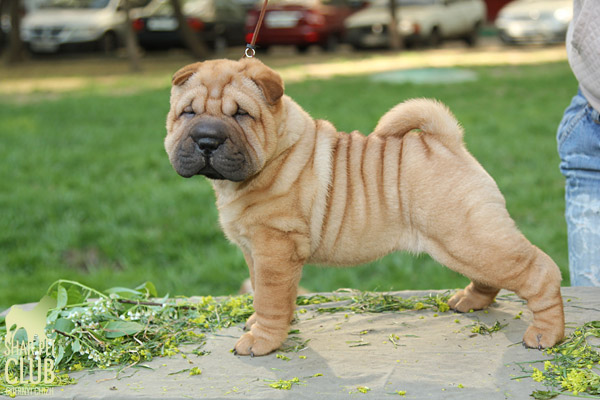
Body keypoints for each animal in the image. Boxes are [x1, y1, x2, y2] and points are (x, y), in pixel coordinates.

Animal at [164, 58, 564, 356]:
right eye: (188, 113)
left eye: (241, 115)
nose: (207, 140)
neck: (275, 155)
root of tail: (448, 142)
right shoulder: (255, 250)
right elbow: (269, 295)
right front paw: (262, 324)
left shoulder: (275, 249)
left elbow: (270, 299)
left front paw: (261, 340)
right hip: (466, 242)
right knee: (492, 275)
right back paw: (470, 300)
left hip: (470, 237)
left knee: (540, 271)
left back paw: (546, 334)